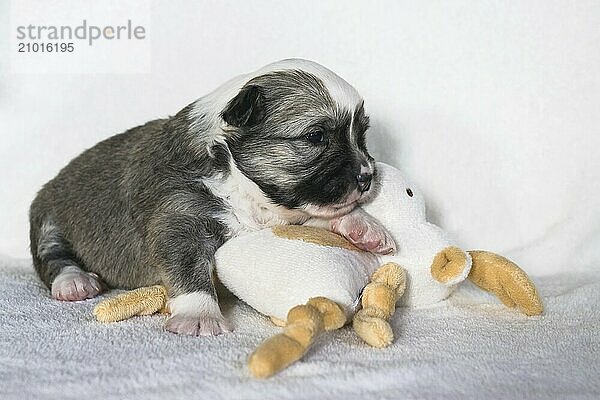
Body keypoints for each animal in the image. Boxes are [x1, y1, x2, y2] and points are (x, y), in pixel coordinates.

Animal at [28, 58, 396, 334]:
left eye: (361, 136)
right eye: (317, 136)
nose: (367, 177)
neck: (239, 182)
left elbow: (315, 215)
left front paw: (364, 226)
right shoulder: (178, 219)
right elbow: (190, 269)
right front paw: (199, 315)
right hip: (47, 218)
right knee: (52, 257)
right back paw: (75, 281)